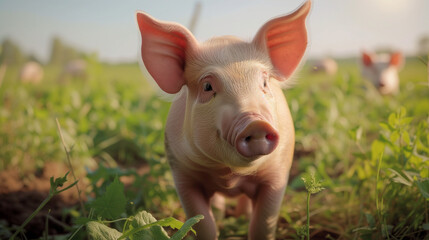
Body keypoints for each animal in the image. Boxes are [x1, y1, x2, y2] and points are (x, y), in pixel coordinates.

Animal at [137, 1, 310, 238]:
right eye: (208, 86)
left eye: (265, 83)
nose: (255, 122)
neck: (230, 175)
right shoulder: (182, 173)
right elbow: (202, 223)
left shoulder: (278, 173)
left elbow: (263, 223)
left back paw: (241, 217)